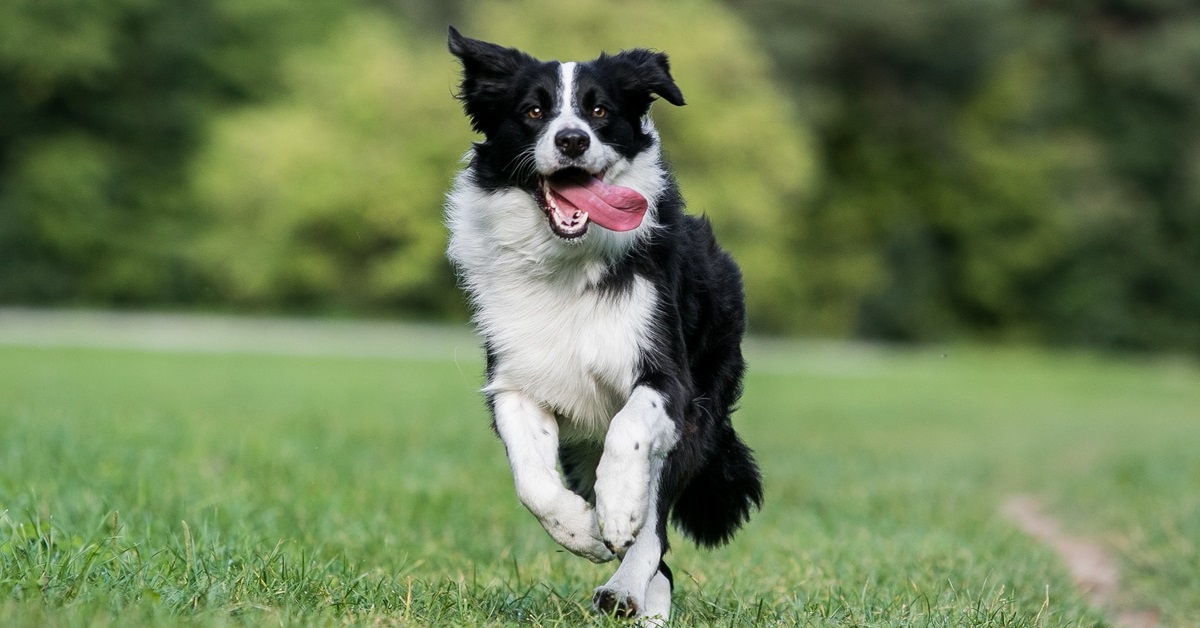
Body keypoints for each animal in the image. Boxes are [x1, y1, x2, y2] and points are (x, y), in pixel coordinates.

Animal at [446, 28, 763, 619]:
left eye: (599, 110)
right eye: (533, 111)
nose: (572, 140)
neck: (567, 264)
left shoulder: (670, 380)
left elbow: (630, 432)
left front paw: (616, 511)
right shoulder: (515, 381)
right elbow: (531, 480)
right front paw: (581, 531)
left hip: (700, 414)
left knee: (656, 529)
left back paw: (626, 589)